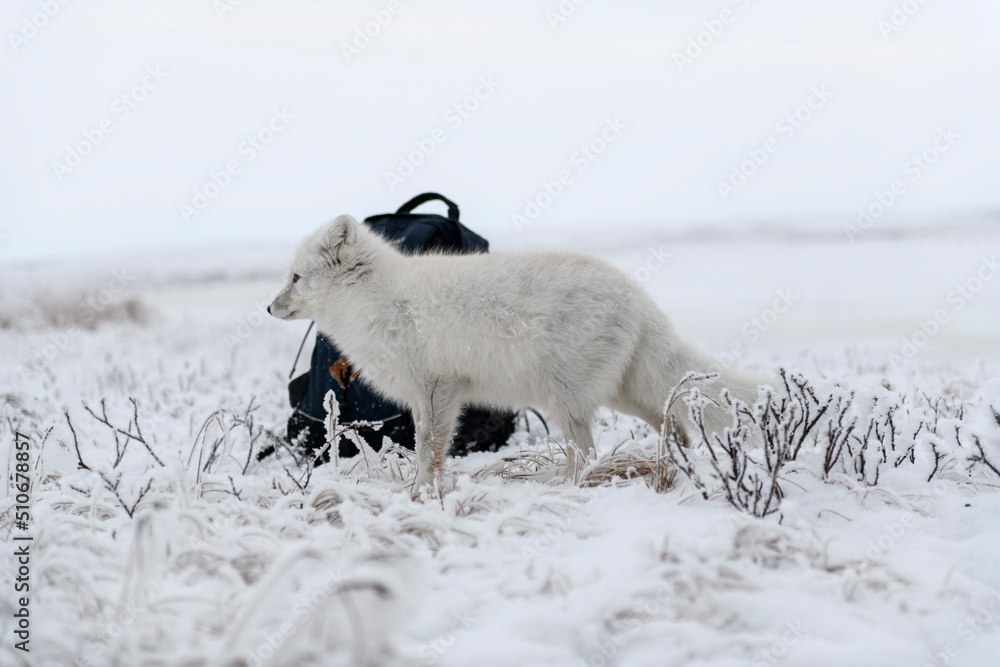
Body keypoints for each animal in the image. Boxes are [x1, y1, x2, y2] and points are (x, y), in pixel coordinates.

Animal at [269, 215, 767, 492]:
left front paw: (420, 495)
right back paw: (670, 466)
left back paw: (566, 488)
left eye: (295, 278)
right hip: (619, 394)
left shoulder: (438, 388)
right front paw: (417, 491)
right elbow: (426, 449)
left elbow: (429, 449)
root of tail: (638, 296)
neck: (375, 301)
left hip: (566, 400)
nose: (268, 308)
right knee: (673, 423)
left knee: (587, 452)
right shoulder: (427, 396)